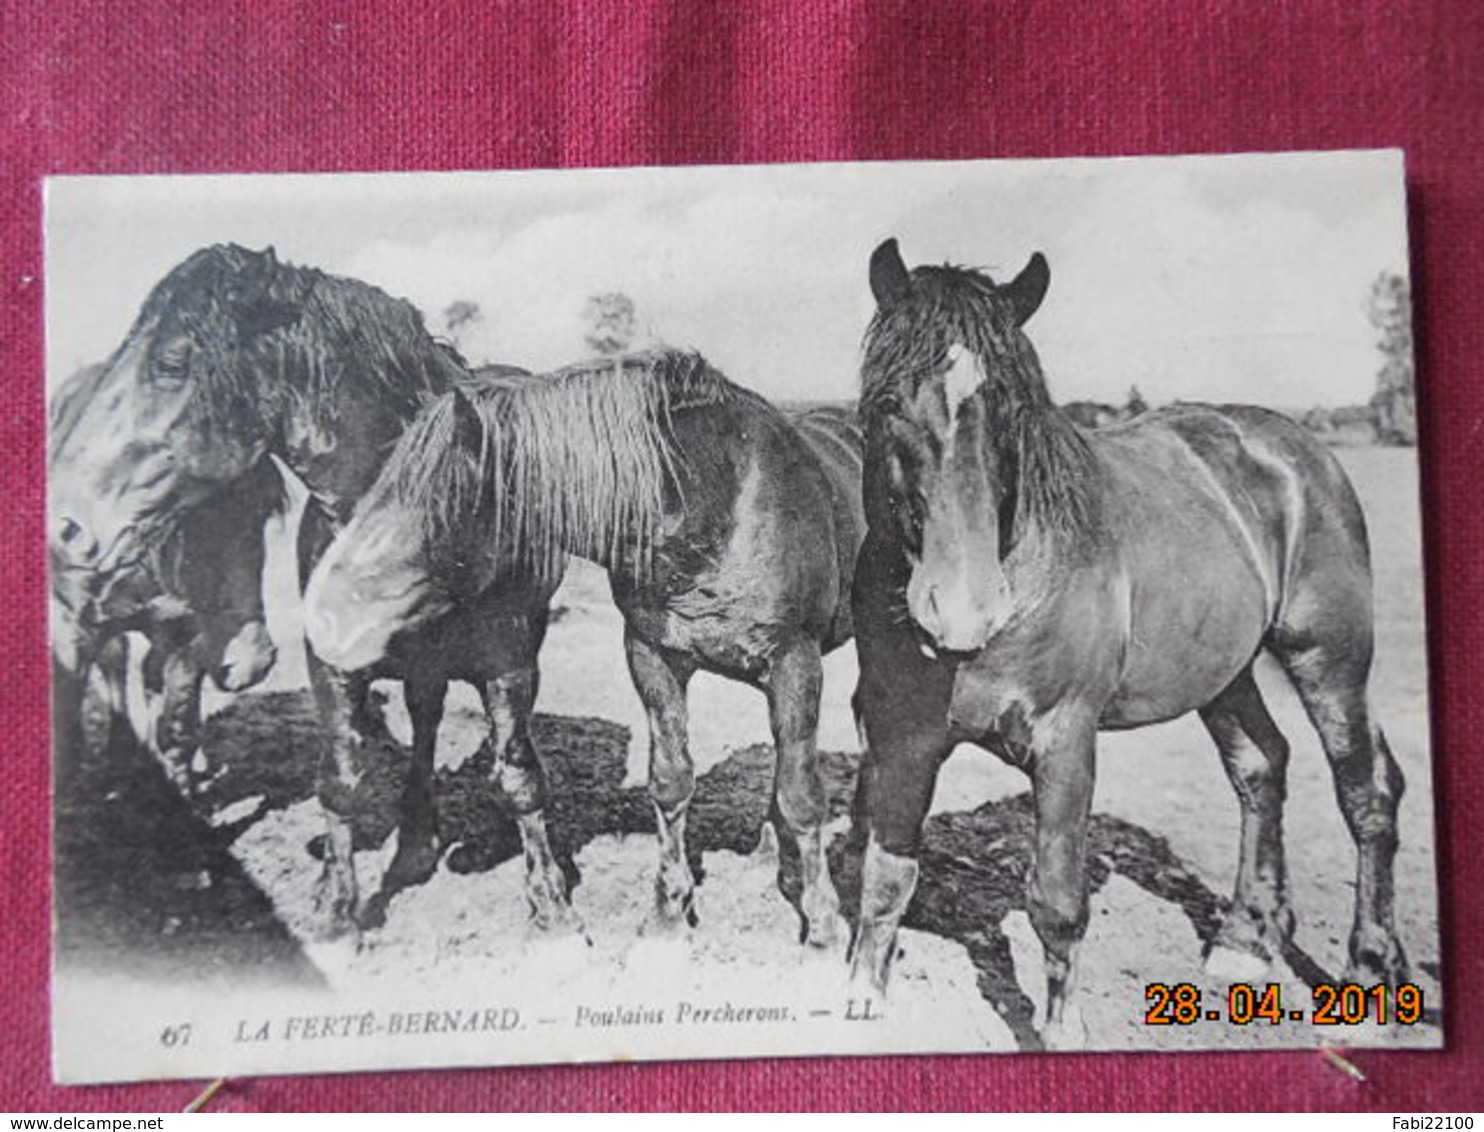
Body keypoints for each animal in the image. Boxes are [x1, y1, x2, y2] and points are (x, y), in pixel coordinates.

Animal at [46, 247, 557, 931]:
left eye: (172, 363)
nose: (69, 525)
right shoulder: (330, 663)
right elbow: (339, 779)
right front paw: (336, 907)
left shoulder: (509, 663)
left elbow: (520, 777)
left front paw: (552, 899)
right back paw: (413, 846)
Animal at [305, 347, 866, 949]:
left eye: (434, 506)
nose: (323, 616)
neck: (720, 504)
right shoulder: (653, 657)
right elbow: (672, 781)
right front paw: (667, 915)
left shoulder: (794, 663)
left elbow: (802, 797)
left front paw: (825, 929)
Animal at [854, 241, 1406, 1056]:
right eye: (890, 403)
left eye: (1014, 411)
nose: (961, 610)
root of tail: (1296, 450)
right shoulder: (901, 739)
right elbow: (887, 877)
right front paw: (860, 999)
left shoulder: (1065, 743)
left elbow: (1055, 900)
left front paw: (1063, 1031)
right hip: (1225, 672)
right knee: (1261, 766)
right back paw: (1247, 940)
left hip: (1328, 659)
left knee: (1366, 792)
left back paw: (1369, 974)